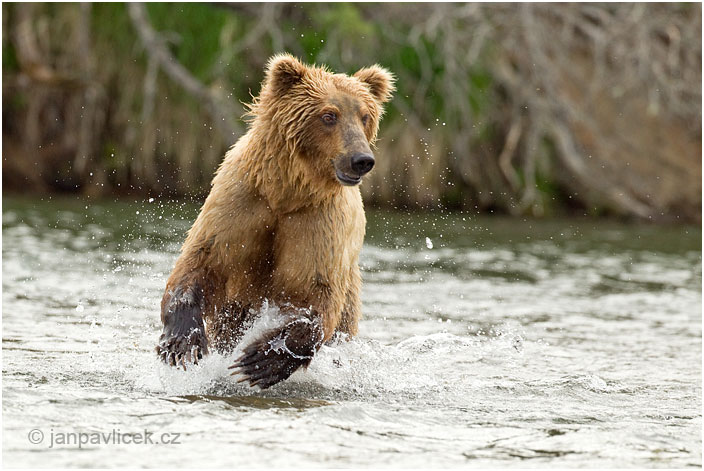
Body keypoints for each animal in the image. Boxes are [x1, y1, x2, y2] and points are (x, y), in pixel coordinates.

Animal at [156, 53, 394, 390]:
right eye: (328, 115)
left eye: (364, 116)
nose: (361, 159)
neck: (286, 193)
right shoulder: (240, 206)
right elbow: (201, 262)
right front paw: (181, 343)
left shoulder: (318, 225)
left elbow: (316, 297)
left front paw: (260, 360)